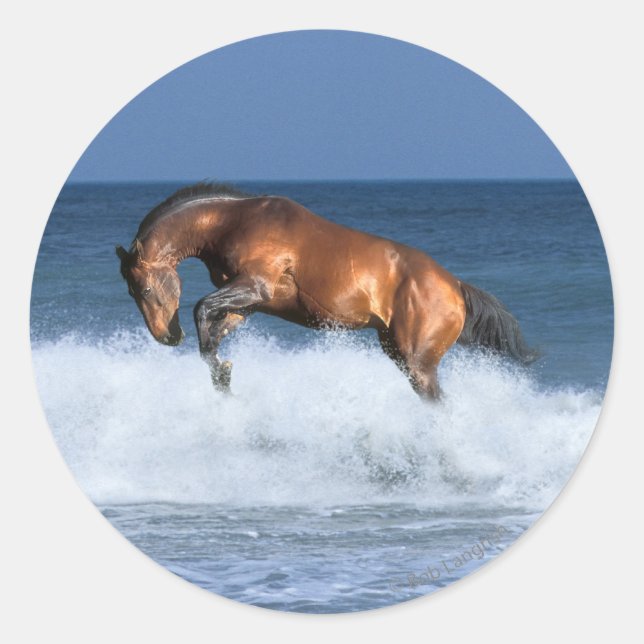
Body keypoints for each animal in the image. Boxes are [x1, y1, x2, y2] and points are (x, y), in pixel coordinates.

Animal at [117, 182, 535, 399]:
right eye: (131, 292)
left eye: (145, 287)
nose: (166, 337)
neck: (234, 221)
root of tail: (455, 286)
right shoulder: (246, 304)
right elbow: (212, 331)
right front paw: (223, 375)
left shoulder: (254, 287)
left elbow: (201, 309)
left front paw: (221, 371)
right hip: (397, 352)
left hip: (418, 363)